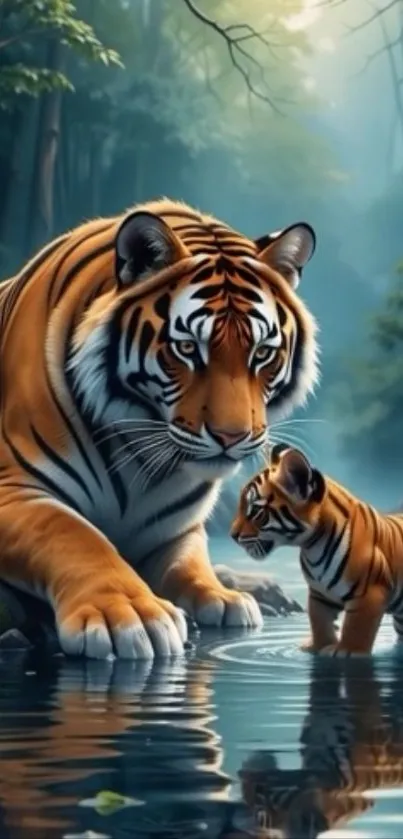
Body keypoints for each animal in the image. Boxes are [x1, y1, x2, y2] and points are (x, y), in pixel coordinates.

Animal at [0, 198, 318, 660]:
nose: (232, 437)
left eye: (262, 353)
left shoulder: (176, 525)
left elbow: (189, 558)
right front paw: (132, 616)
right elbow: (74, 535)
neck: (141, 458)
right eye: (187, 349)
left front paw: (224, 597)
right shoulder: (14, 488)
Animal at [231, 443, 403, 656]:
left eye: (255, 511)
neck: (313, 546)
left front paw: (347, 651)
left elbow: (356, 626)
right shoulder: (319, 596)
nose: (232, 535)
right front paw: (317, 647)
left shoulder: (369, 594)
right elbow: (319, 622)